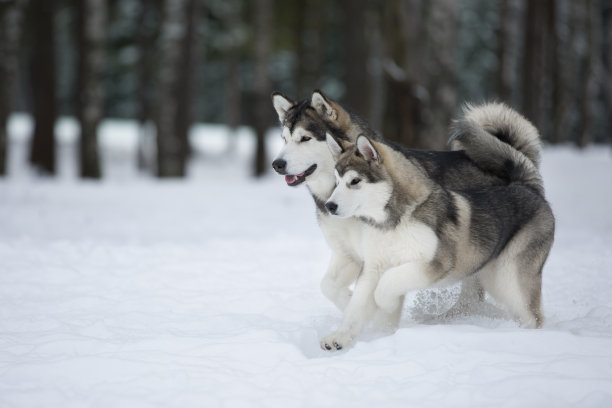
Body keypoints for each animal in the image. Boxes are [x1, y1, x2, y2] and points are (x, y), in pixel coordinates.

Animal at [320, 103, 556, 350]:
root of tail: (527, 187)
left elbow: (388, 284)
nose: (329, 206)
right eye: (337, 181)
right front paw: (341, 338)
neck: (395, 220)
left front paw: (384, 303)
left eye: (355, 181)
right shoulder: (373, 267)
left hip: (509, 278)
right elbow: (356, 309)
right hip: (490, 276)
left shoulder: (435, 263)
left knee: (533, 316)